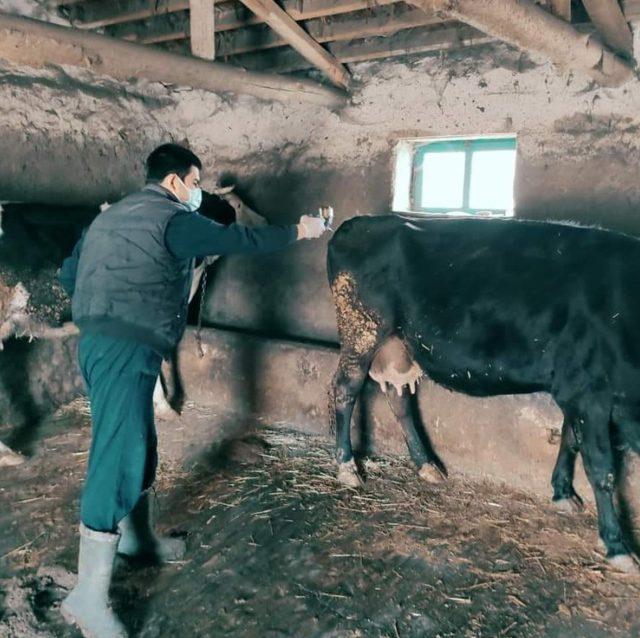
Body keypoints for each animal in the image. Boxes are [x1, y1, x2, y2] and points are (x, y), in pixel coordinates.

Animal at [328, 215, 640, 576]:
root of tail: (360, 222)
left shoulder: (576, 390)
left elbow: (570, 439)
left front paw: (563, 493)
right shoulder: (590, 392)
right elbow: (602, 468)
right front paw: (617, 545)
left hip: (398, 345)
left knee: (399, 397)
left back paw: (426, 465)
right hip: (361, 332)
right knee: (345, 390)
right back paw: (348, 467)